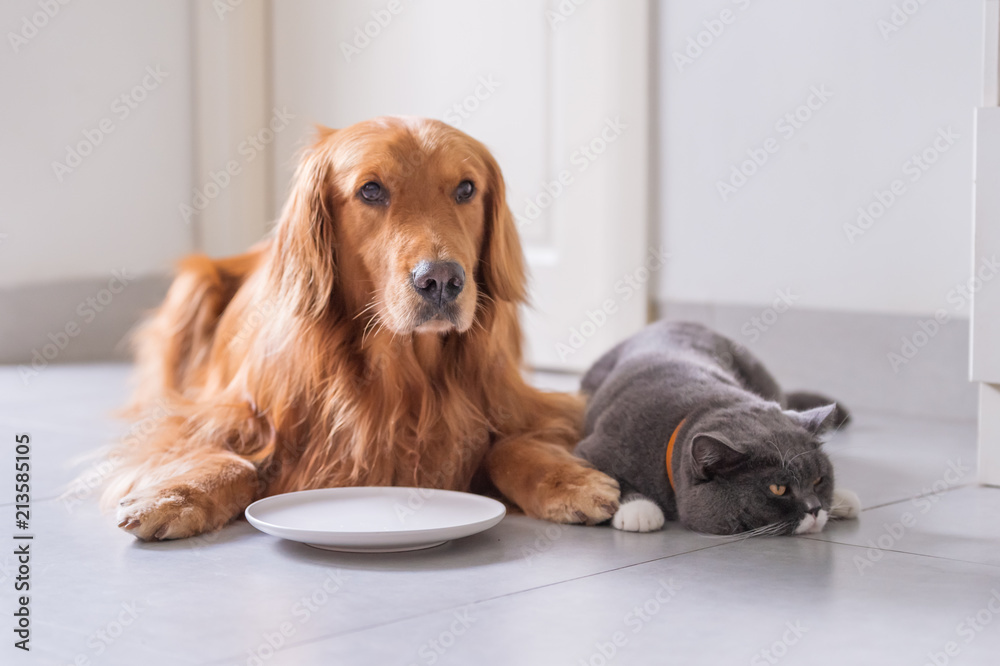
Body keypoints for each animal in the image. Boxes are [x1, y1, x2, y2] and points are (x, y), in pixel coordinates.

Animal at [101, 115, 616, 540]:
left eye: (466, 189)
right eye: (371, 190)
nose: (442, 281)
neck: (400, 371)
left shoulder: (529, 406)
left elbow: (509, 445)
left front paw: (568, 479)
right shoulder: (211, 415)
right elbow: (232, 461)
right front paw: (177, 495)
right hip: (193, 285)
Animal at [576, 320, 864, 536]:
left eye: (819, 480)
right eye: (778, 489)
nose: (814, 508)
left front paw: (840, 498)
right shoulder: (591, 448)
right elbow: (608, 476)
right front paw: (639, 509)